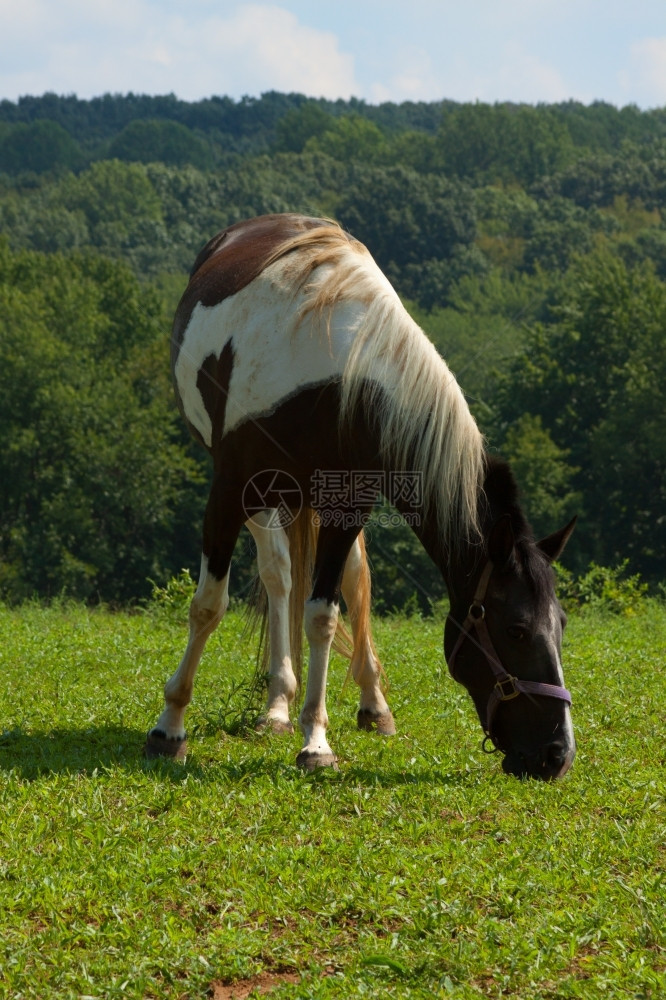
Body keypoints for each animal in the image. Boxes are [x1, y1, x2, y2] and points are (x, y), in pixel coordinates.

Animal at [147, 215, 576, 780]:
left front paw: (316, 740)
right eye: (517, 630)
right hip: (266, 498)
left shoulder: (349, 504)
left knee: (341, 580)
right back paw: (275, 706)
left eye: (561, 625)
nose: (557, 754)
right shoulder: (230, 490)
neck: (336, 375)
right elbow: (208, 607)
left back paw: (366, 704)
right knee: (278, 576)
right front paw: (170, 725)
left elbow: (325, 614)